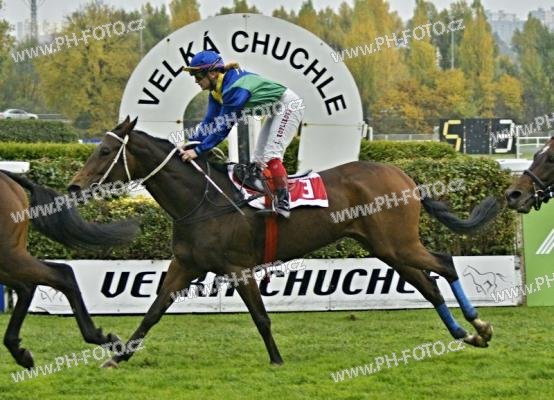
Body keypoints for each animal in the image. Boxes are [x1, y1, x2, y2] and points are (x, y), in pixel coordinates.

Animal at [69, 116, 500, 368]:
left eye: (105, 150)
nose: (74, 187)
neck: (202, 202)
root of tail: (406, 177)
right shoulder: (185, 265)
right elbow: (154, 311)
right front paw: (119, 355)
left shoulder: (238, 268)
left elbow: (260, 317)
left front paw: (276, 359)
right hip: (387, 249)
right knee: (429, 285)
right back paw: (465, 334)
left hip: (398, 244)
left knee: (444, 263)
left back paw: (479, 325)